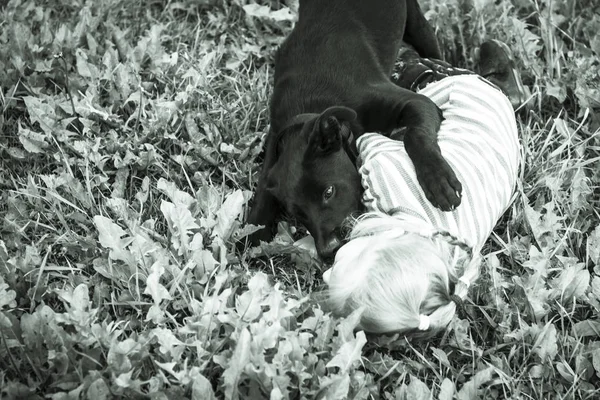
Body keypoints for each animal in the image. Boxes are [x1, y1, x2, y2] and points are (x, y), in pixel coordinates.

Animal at [246, 0, 462, 260]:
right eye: (297, 213)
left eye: (329, 192)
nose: (329, 251)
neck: (308, 106)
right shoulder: (276, 135)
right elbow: (262, 189)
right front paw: (254, 231)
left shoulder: (416, 102)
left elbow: (415, 135)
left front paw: (439, 180)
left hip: (416, 24)